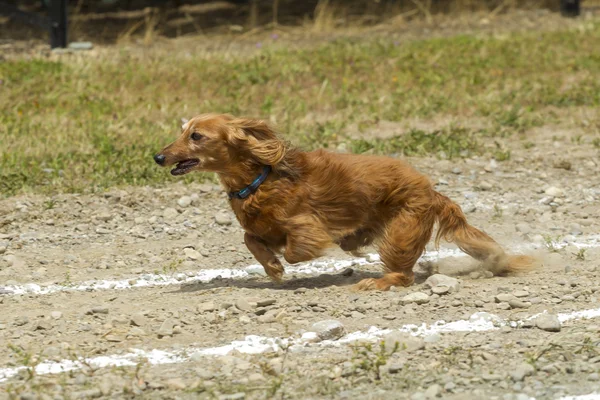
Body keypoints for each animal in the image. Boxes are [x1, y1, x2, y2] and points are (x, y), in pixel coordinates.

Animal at [154, 113, 536, 290]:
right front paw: (272, 267)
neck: (259, 180)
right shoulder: (257, 226)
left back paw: (375, 281)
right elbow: (251, 238)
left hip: (400, 232)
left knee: (403, 275)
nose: (158, 157)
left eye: (196, 135)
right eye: (182, 130)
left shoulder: (307, 224)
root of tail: (431, 190)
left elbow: (296, 247)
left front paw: (283, 261)